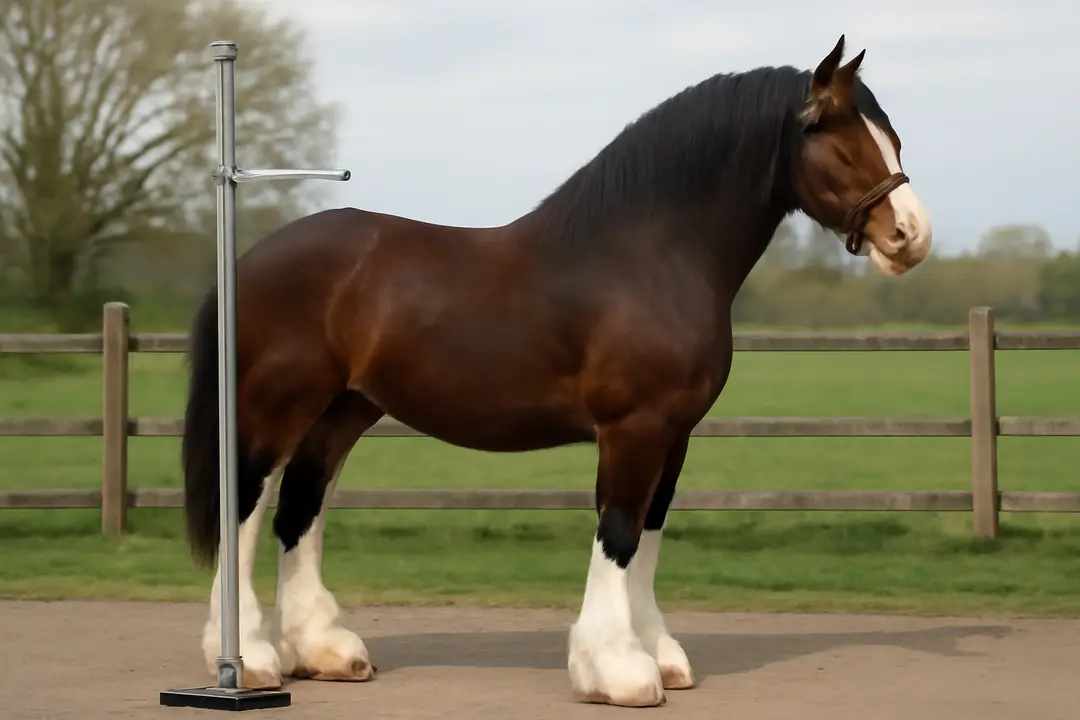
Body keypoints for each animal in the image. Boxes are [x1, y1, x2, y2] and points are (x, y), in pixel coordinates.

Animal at [181, 35, 931, 708]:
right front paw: (617, 670)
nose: (911, 237)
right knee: (245, 508)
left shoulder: (676, 433)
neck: (650, 256)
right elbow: (619, 530)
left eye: (892, 137)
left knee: (301, 506)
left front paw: (658, 654)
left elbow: (650, 533)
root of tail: (249, 259)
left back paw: (326, 652)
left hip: (344, 408)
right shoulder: (633, 428)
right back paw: (248, 662)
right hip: (277, 406)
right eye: (835, 137)